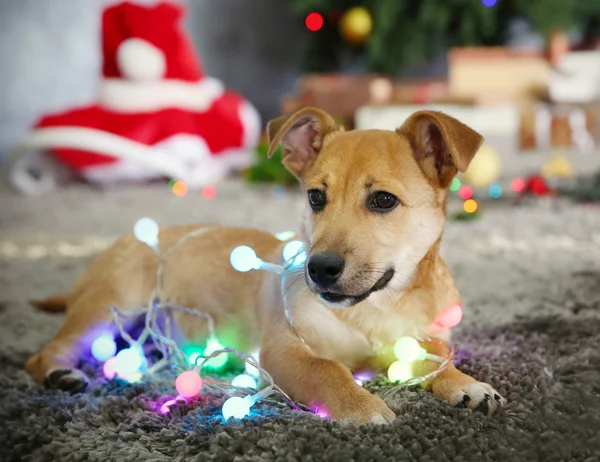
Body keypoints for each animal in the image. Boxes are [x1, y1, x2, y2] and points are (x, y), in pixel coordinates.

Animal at [28, 107, 506, 422]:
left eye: (383, 200)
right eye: (316, 197)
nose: (320, 268)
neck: (378, 305)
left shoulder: (420, 337)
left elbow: (432, 356)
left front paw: (465, 384)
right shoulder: (282, 348)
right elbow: (328, 370)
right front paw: (363, 407)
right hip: (109, 307)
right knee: (45, 353)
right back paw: (60, 374)